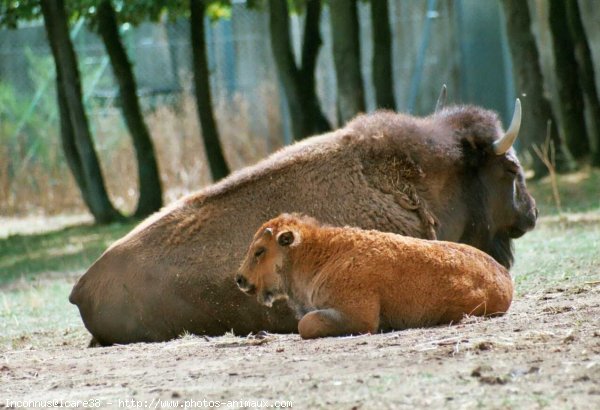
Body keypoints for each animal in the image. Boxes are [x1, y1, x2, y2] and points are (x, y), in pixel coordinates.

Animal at [237, 213, 512, 338]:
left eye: (259, 250)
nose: (239, 279)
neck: (322, 255)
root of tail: (506, 279)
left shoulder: (357, 315)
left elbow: (304, 324)